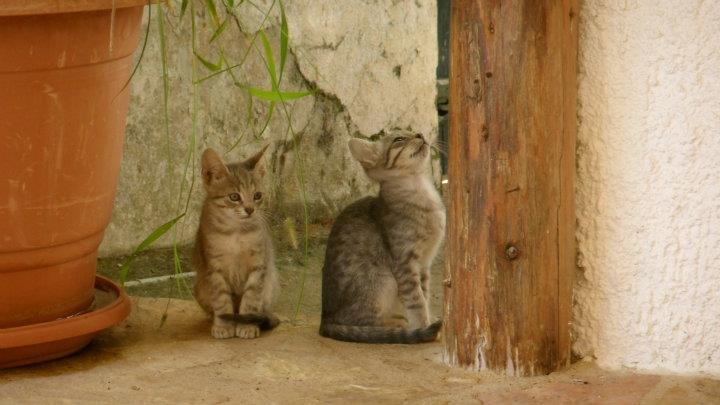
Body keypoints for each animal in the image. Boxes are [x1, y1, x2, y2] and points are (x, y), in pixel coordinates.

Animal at [193, 145, 280, 338]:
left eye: (257, 195)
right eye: (234, 197)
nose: (250, 209)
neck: (236, 233)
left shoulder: (258, 266)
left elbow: (251, 298)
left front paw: (247, 326)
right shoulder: (214, 268)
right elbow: (221, 300)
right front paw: (223, 326)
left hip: (270, 285)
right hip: (201, 288)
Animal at [320, 131, 444, 342]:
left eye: (413, 132)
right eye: (399, 140)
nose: (419, 133)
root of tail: (325, 320)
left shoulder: (424, 265)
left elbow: (425, 295)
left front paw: (427, 317)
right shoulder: (405, 263)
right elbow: (417, 300)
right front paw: (423, 325)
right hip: (384, 280)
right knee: (363, 322)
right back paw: (397, 325)